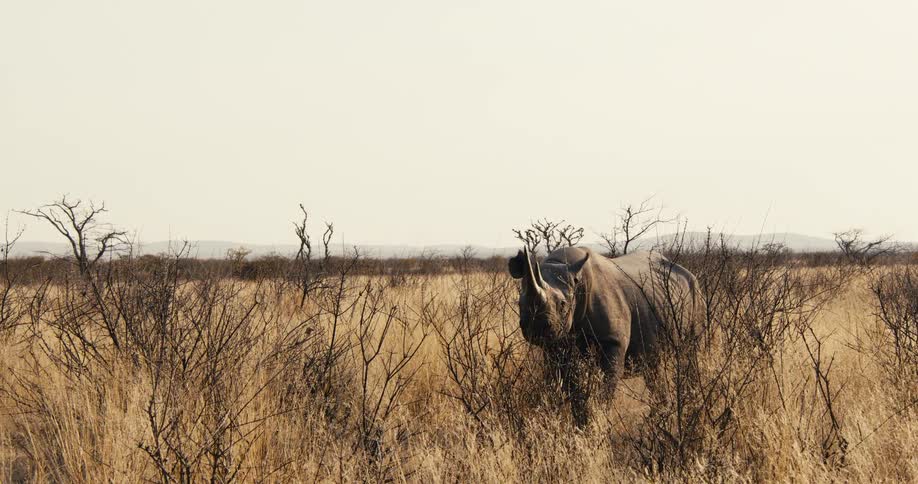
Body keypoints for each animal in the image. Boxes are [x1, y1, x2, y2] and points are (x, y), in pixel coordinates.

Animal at [508, 246, 701, 426]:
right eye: (519, 303)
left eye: (562, 304)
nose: (536, 329)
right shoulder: (557, 345)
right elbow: (567, 384)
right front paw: (580, 423)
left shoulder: (612, 341)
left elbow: (606, 385)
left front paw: (596, 420)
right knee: (654, 365)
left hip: (695, 290)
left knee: (691, 352)